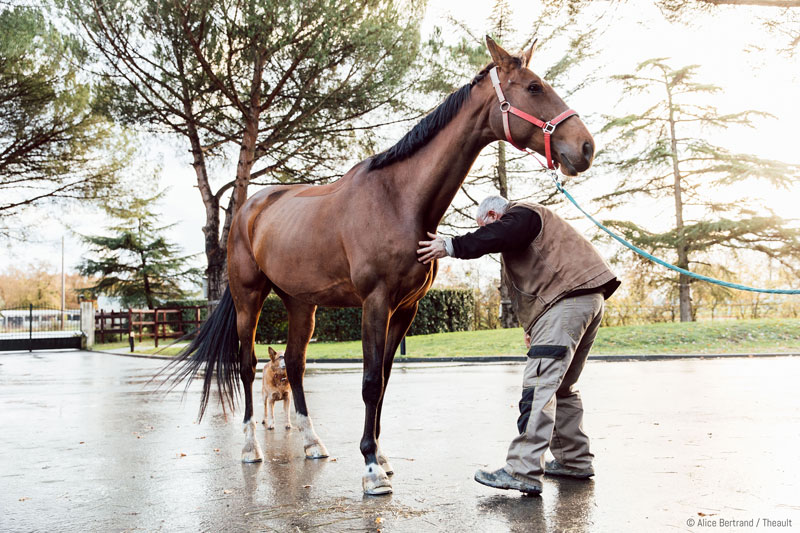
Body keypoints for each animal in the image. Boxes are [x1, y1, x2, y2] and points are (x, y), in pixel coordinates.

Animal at [167, 37, 592, 494]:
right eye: (533, 87)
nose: (585, 147)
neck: (399, 199)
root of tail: (250, 208)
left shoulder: (404, 309)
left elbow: (385, 380)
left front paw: (382, 457)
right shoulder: (375, 302)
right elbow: (370, 382)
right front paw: (371, 468)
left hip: (301, 303)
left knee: (295, 366)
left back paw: (312, 443)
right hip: (250, 299)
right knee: (247, 368)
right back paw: (251, 449)